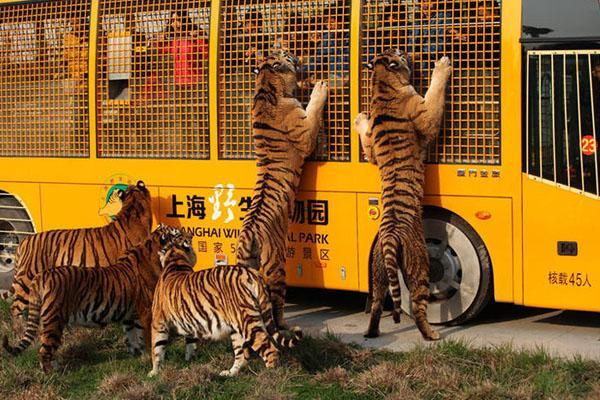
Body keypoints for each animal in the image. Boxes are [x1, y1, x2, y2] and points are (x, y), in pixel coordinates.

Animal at [2, 223, 183, 374]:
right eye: (176, 233)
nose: (186, 232)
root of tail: (41, 276)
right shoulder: (145, 310)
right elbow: (147, 336)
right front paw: (149, 357)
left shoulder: (129, 313)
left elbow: (132, 335)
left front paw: (137, 354)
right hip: (53, 319)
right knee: (44, 349)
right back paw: (50, 373)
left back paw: (55, 367)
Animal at [148, 233, 302, 376]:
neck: (175, 261)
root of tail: (252, 273)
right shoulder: (190, 323)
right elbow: (190, 345)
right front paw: (189, 361)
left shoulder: (158, 322)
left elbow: (156, 348)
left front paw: (154, 373)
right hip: (237, 328)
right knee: (241, 355)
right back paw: (230, 373)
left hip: (248, 324)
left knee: (271, 351)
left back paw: (269, 375)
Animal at [234, 50, 328, 330]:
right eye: (284, 54)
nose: (294, 53)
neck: (266, 86)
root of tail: (248, 234)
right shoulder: (305, 132)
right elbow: (313, 110)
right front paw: (319, 87)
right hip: (276, 263)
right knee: (276, 301)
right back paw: (284, 325)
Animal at [354, 48, 452, 340]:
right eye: (397, 52)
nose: (407, 50)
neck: (382, 83)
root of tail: (389, 236)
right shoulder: (425, 113)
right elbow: (434, 94)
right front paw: (442, 66)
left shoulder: (373, 151)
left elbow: (367, 140)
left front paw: (361, 118)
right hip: (419, 263)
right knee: (419, 305)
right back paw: (431, 334)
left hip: (377, 270)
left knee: (377, 303)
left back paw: (372, 333)